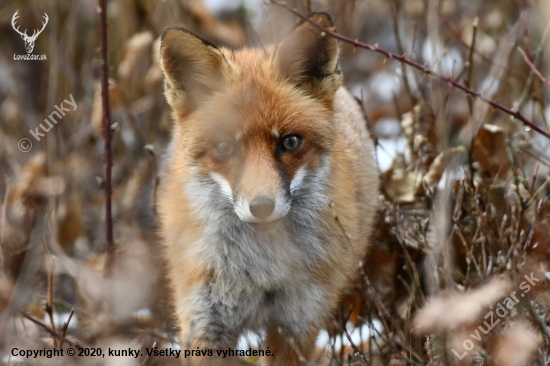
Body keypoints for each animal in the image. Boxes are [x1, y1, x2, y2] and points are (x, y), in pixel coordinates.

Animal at [156, 12, 380, 366]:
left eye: (289, 142)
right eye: (225, 147)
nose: (261, 206)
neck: (260, 269)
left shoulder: (296, 324)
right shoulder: (206, 321)